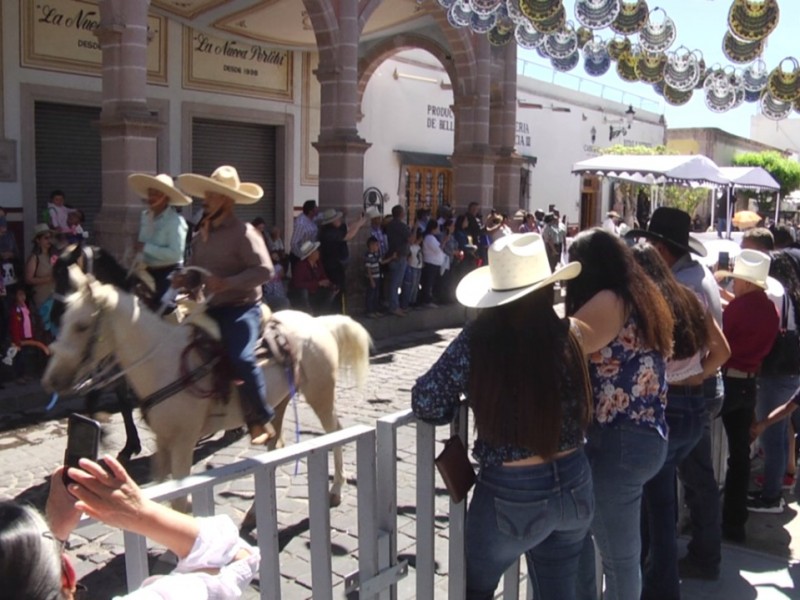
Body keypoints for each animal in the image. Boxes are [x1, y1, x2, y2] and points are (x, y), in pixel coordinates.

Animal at [41, 268, 372, 506]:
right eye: (63, 320)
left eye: (82, 326)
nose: (51, 381)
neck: (163, 360)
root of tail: (318, 322)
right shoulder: (163, 441)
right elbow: (160, 490)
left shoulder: (184, 442)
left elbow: (180, 501)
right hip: (278, 403)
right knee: (275, 445)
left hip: (320, 394)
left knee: (335, 432)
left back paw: (337, 488)